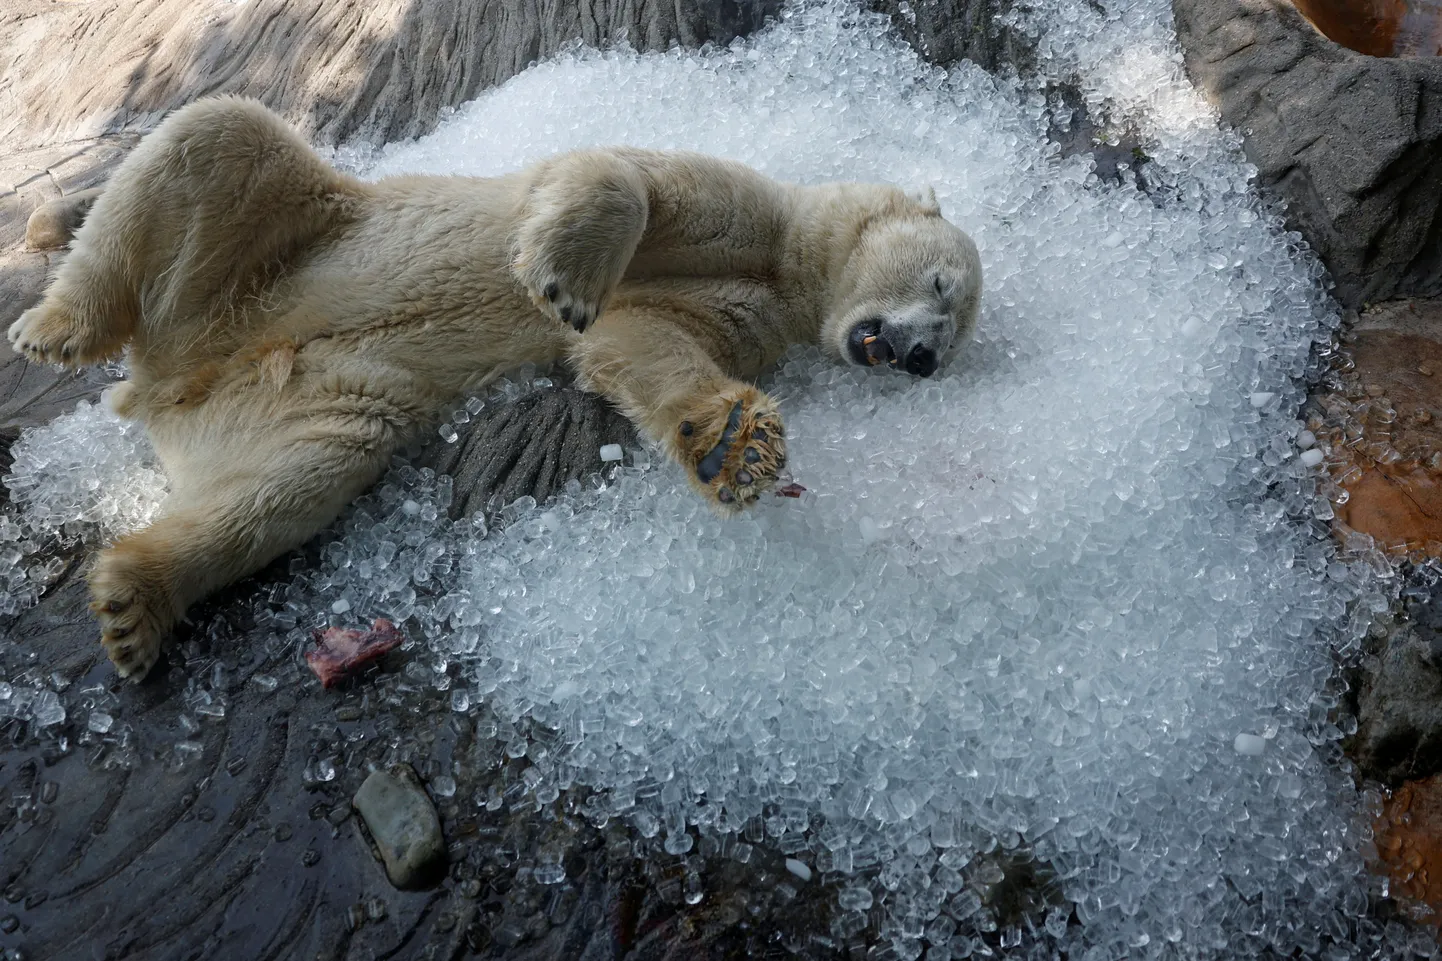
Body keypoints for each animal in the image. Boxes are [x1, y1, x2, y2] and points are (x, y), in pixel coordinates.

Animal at [8, 95, 980, 672]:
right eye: (945, 287)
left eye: (954, 334)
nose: (923, 356)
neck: (787, 265)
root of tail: (169, 382)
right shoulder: (735, 202)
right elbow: (617, 178)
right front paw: (563, 277)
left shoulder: (747, 315)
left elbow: (640, 345)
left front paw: (735, 444)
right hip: (270, 247)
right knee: (217, 137)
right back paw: (54, 326)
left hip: (310, 392)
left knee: (296, 478)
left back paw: (134, 602)